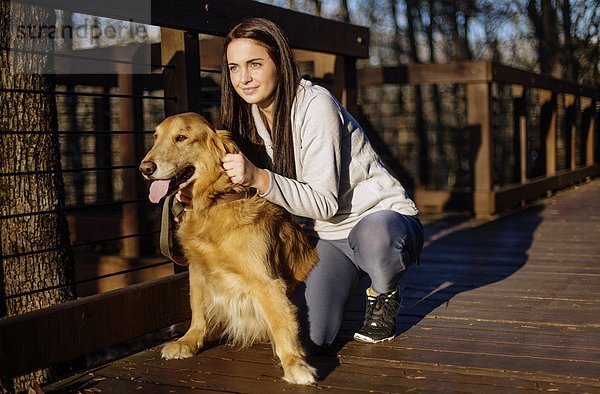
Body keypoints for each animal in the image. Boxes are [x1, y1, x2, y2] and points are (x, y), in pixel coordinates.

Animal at [139, 111, 318, 384]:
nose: (145, 168)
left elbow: (282, 322)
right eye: (156, 137)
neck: (213, 204)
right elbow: (197, 309)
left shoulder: (267, 281)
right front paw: (189, 341)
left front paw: (294, 363)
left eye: (181, 138)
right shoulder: (198, 271)